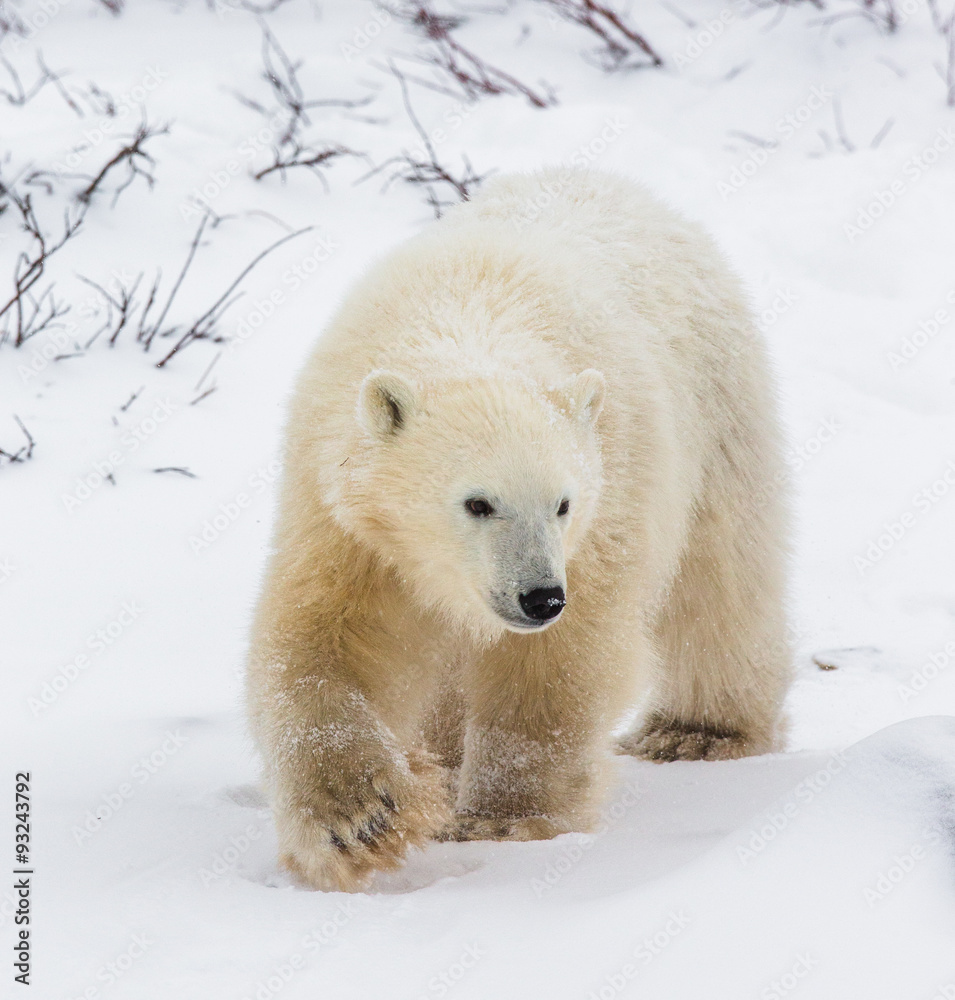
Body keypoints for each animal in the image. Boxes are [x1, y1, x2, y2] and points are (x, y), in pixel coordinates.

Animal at [246, 168, 791, 892]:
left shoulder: (607, 499)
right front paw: (358, 818)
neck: (473, 315)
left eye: (562, 503)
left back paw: (696, 730)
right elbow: (326, 639)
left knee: (719, 578)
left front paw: (504, 819)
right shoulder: (347, 515)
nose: (539, 597)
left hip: (718, 410)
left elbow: (555, 665)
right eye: (477, 503)